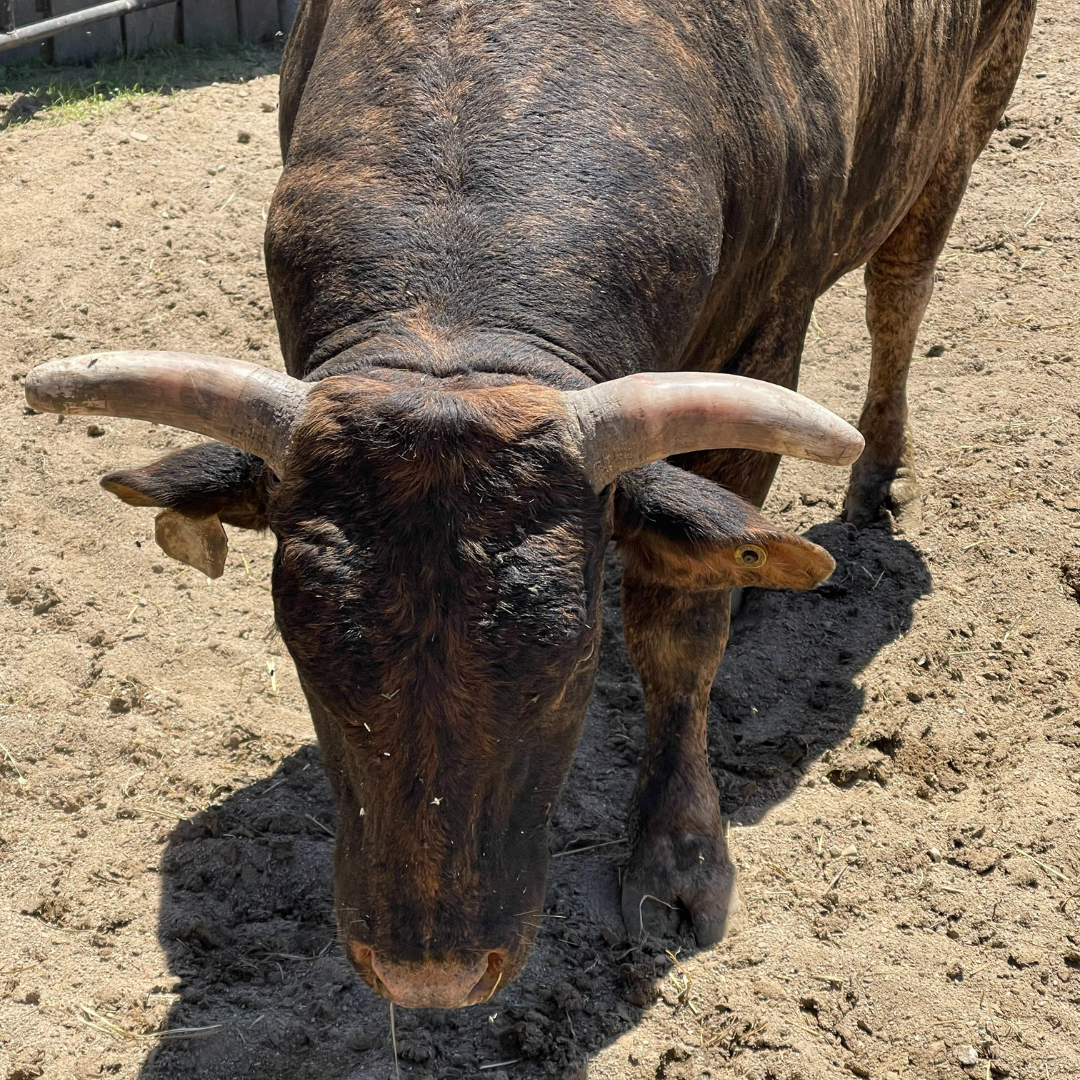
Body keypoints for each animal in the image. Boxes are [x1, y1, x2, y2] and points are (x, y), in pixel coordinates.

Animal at [26, 0, 1033, 1010]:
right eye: (304, 652)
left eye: (572, 656)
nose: (429, 974)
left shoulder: (765, 344)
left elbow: (680, 633)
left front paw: (678, 857)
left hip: (961, 128)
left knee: (899, 291)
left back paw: (879, 475)